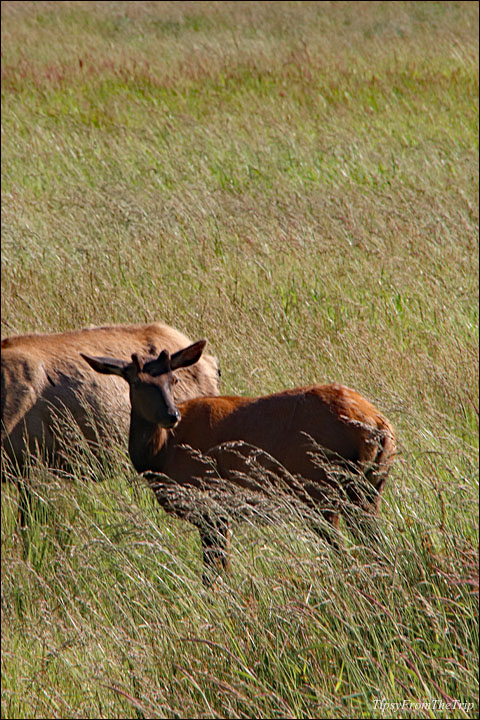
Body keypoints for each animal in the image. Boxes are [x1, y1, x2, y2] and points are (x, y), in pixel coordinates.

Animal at [81, 340, 396, 583]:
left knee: (343, 549)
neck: (163, 454)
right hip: (369, 488)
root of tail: (379, 426)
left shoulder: (210, 504)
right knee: (375, 545)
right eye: (136, 382)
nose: (171, 415)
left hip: (321, 489)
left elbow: (213, 573)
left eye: (174, 380)